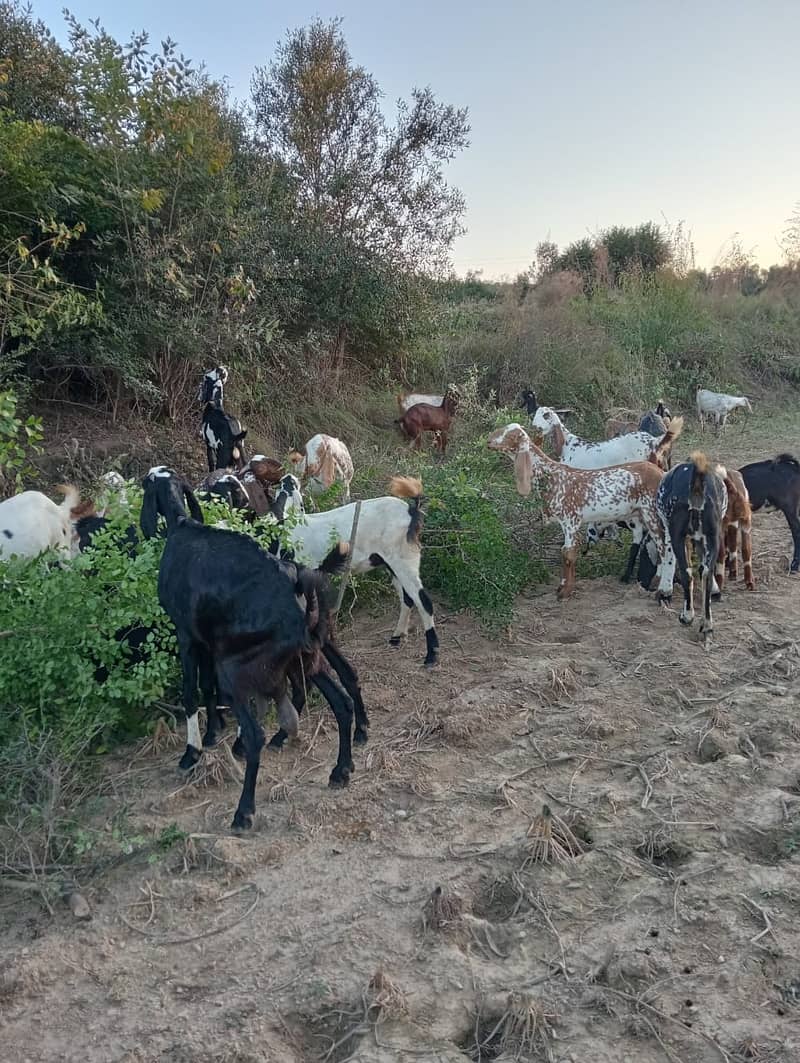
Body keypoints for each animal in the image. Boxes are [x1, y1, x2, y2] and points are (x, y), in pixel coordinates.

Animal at [139, 465, 367, 829]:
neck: (181, 526)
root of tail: (298, 582)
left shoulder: (187, 637)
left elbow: (190, 693)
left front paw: (192, 753)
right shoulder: (209, 641)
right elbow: (206, 687)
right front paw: (213, 734)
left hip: (241, 667)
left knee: (257, 732)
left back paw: (244, 811)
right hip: (307, 656)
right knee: (341, 699)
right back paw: (340, 769)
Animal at [268, 474, 437, 663]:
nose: (288, 477)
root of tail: (411, 511)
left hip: (404, 559)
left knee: (423, 600)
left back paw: (431, 655)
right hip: (392, 563)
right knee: (407, 598)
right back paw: (396, 637)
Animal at [486, 425, 667, 608]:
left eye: (509, 436)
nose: (488, 441)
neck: (552, 477)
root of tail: (661, 473)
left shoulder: (571, 520)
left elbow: (569, 553)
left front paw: (565, 593)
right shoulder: (565, 523)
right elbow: (564, 552)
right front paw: (561, 587)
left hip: (652, 514)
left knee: (664, 547)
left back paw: (659, 585)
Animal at [650, 452, 726, 642]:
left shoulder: (671, 533)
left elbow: (668, 559)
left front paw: (665, 590)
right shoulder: (702, 540)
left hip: (678, 536)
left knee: (687, 573)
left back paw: (687, 615)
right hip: (713, 537)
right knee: (706, 574)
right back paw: (707, 624)